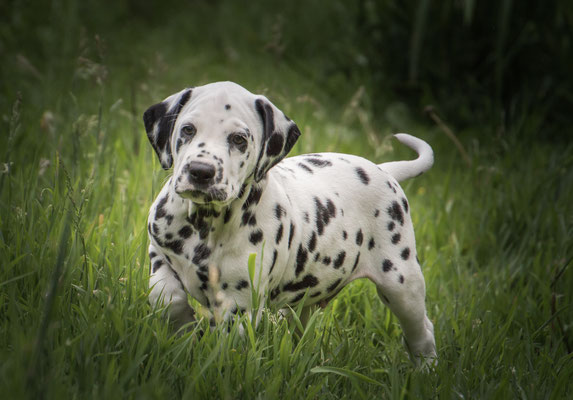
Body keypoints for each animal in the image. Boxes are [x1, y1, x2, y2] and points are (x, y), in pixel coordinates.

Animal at [144, 81, 438, 362]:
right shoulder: (158, 251)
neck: (206, 223)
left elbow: (226, 349)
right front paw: (182, 328)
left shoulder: (239, 306)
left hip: (401, 284)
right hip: (305, 298)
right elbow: (166, 296)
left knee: (423, 331)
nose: (201, 172)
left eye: (239, 139)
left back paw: (426, 368)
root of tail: (384, 170)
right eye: (188, 129)